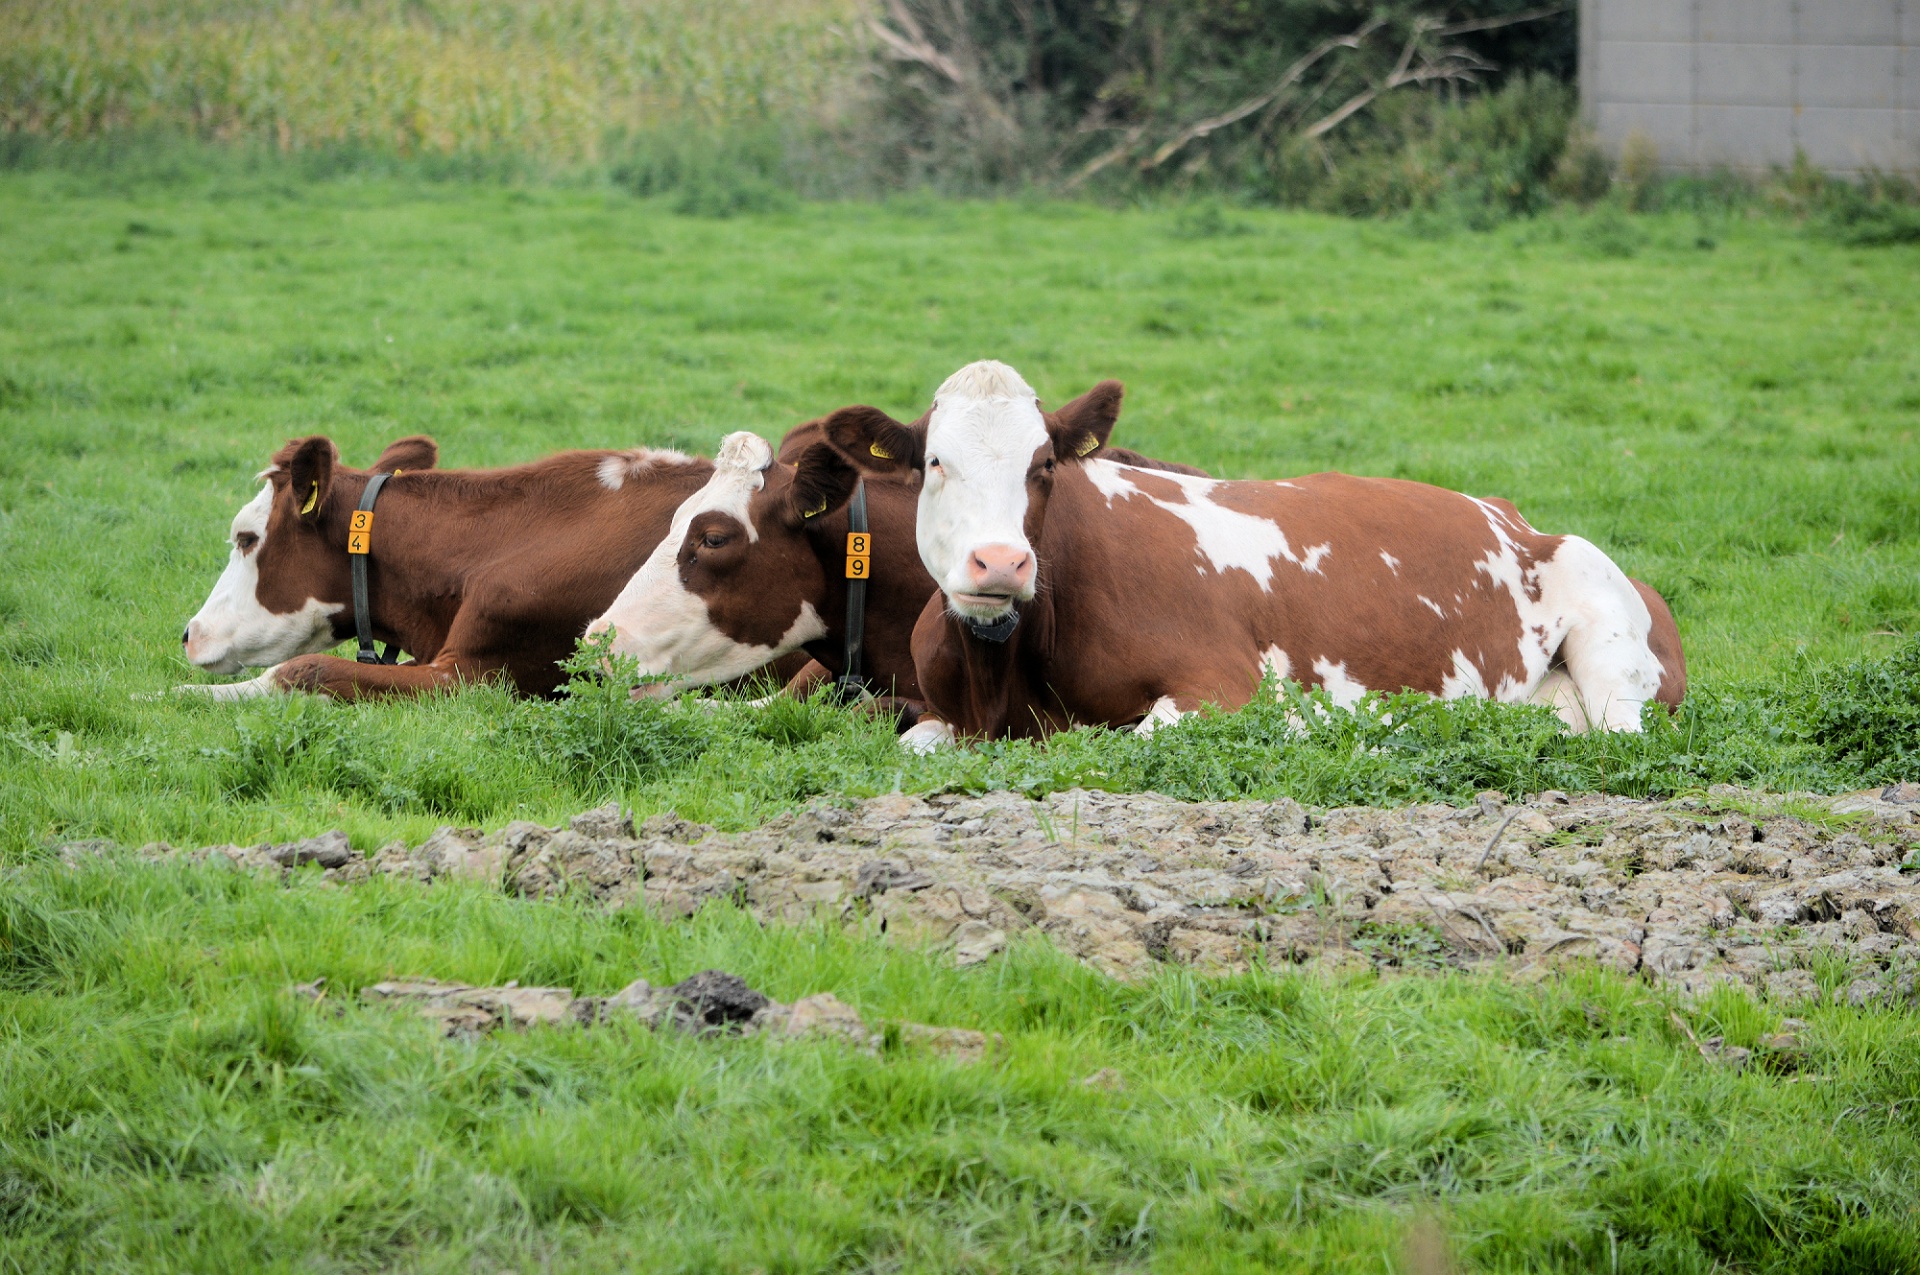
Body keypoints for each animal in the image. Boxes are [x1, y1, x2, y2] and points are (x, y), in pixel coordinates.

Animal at [817, 359, 1689, 748]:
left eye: (1044, 467)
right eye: (935, 462)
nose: (999, 563)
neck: (1003, 678)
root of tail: (1522, 519)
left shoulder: (1217, 686)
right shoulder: (939, 712)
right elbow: (914, 743)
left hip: (1609, 636)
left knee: (1616, 731)